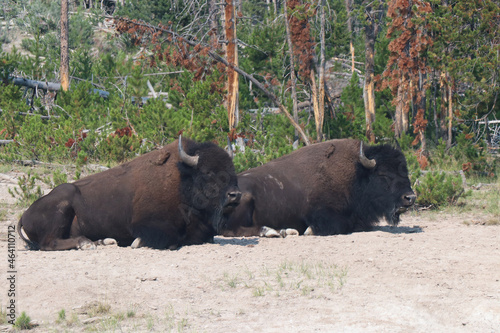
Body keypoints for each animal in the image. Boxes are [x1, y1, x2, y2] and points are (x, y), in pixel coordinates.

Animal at [20, 136, 243, 249]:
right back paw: (87, 244)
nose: (235, 195)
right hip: (63, 203)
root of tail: (24, 215)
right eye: (207, 172)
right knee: (49, 243)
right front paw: (136, 242)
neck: (183, 180)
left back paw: (102, 241)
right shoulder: (147, 225)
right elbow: (168, 240)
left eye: (232, 170)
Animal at [221, 139, 416, 237]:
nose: (410, 197)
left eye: (405, 171)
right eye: (383, 174)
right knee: (232, 230)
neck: (356, 174)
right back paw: (271, 231)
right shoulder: (320, 213)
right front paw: (309, 231)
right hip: (244, 199)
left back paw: (285, 231)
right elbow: (338, 225)